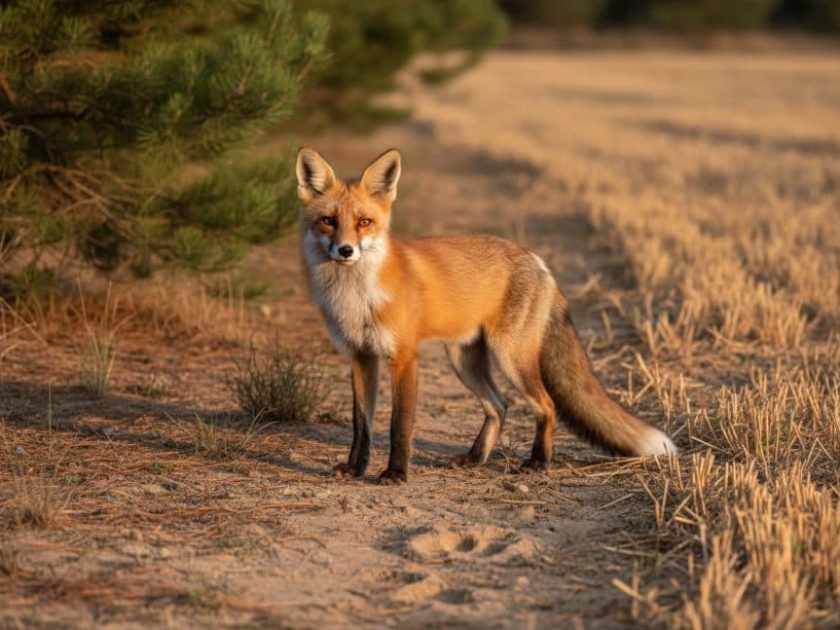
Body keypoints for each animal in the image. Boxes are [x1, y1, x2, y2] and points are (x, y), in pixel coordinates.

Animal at [296, 147, 676, 483]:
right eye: (328, 221)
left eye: (364, 222)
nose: (346, 250)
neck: (356, 296)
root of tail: (537, 261)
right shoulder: (360, 357)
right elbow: (361, 425)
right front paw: (355, 469)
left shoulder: (404, 359)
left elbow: (398, 426)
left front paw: (396, 474)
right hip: (464, 360)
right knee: (500, 405)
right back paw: (476, 458)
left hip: (510, 357)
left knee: (546, 405)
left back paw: (538, 462)